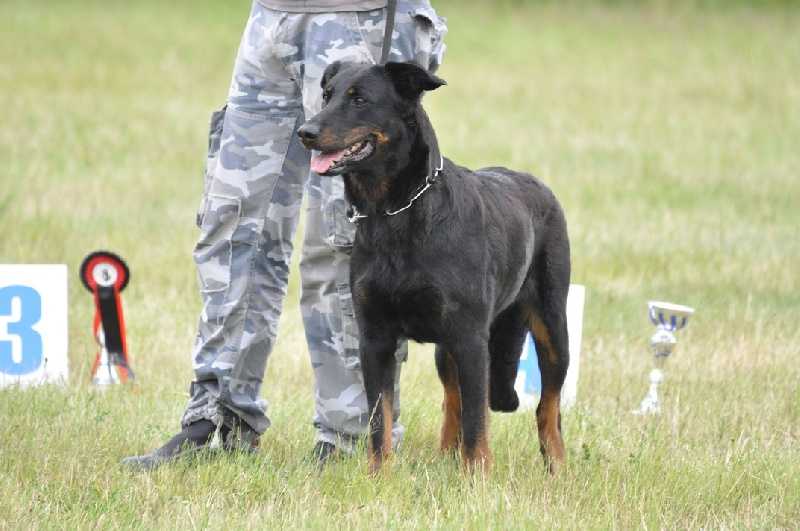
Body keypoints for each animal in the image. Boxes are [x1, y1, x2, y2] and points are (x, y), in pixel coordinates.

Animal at [298, 61, 568, 474]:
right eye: (326, 96)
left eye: (359, 99)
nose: (305, 132)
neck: (395, 212)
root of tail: (537, 184)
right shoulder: (375, 337)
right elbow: (379, 418)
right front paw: (378, 475)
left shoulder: (471, 339)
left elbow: (477, 420)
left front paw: (477, 476)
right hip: (447, 350)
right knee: (451, 401)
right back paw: (445, 457)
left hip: (552, 325)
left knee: (548, 407)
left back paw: (556, 467)